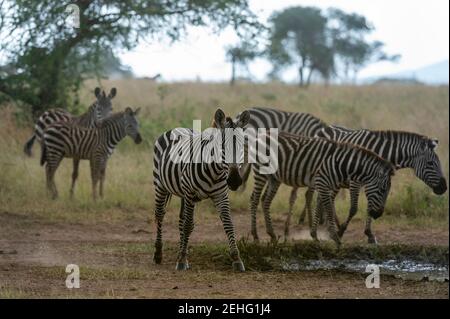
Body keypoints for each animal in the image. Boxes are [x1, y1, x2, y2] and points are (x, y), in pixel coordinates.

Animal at [153, 109, 251, 272]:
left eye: (242, 146)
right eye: (222, 146)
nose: (234, 181)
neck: (214, 171)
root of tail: (177, 128)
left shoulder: (221, 195)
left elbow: (228, 223)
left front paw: (237, 259)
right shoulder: (190, 193)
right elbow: (188, 225)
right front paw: (181, 260)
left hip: (183, 193)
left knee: (181, 219)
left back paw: (181, 253)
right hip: (160, 184)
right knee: (160, 214)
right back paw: (158, 254)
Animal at [250, 131, 394, 246]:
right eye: (382, 190)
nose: (378, 214)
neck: (341, 164)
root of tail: (262, 134)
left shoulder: (326, 186)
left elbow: (320, 207)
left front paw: (315, 236)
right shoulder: (323, 183)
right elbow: (328, 209)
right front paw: (336, 237)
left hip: (274, 178)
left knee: (266, 201)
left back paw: (272, 235)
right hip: (260, 172)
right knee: (254, 199)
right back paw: (255, 236)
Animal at [296, 126, 446, 244]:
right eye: (430, 164)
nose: (444, 188)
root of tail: (324, 128)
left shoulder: (373, 182)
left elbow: (369, 207)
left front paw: (369, 234)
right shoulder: (356, 181)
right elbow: (354, 208)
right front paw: (342, 231)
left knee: (324, 199)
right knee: (313, 196)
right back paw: (317, 229)